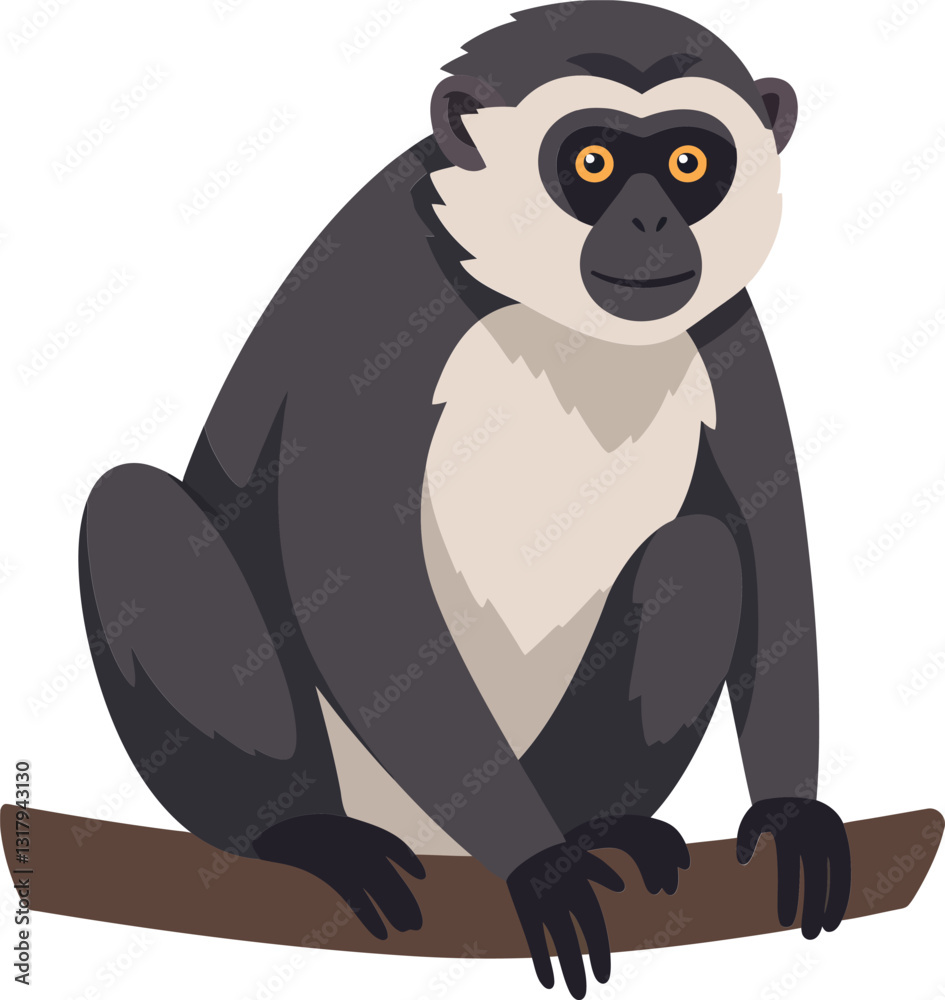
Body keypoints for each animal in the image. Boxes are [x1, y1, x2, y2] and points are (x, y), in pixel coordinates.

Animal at [78, 3, 851, 996]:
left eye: (688, 163)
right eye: (591, 164)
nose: (650, 218)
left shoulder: (723, 324)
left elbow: (768, 540)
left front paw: (792, 816)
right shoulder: (375, 299)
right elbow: (349, 578)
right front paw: (540, 866)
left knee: (699, 556)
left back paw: (601, 830)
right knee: (131, 511)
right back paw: (303, 834)